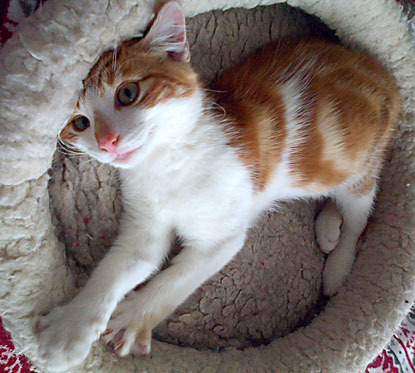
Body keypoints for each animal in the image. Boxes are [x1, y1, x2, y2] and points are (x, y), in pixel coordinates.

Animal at [35, 2, 404, 370]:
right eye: (79, 123)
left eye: (127, 93)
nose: (107, 142)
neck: (167, 163)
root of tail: (382, 72)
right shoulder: (145, 222)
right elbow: (118, 267)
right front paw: (69, 328)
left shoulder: (222, 235)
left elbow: (178, 279)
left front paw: (134, 317)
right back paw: (327, 227)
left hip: (358, 165)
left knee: (359, 216)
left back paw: (338, 265)